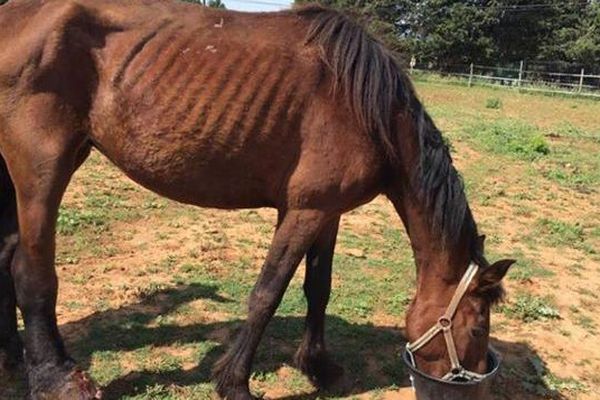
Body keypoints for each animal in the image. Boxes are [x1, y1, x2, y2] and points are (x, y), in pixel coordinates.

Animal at [0, 1, 516, 398]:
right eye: (477, 328)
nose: (468, 381)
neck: (370, 109)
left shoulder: (326, 212)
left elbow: (318, 288)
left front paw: (318, 366)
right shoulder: (305, 211)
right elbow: (268, 293)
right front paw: (234, 382)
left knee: (5, 257)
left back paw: (13, 357)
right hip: (43, 169)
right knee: (31, 271)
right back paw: (57, 378)